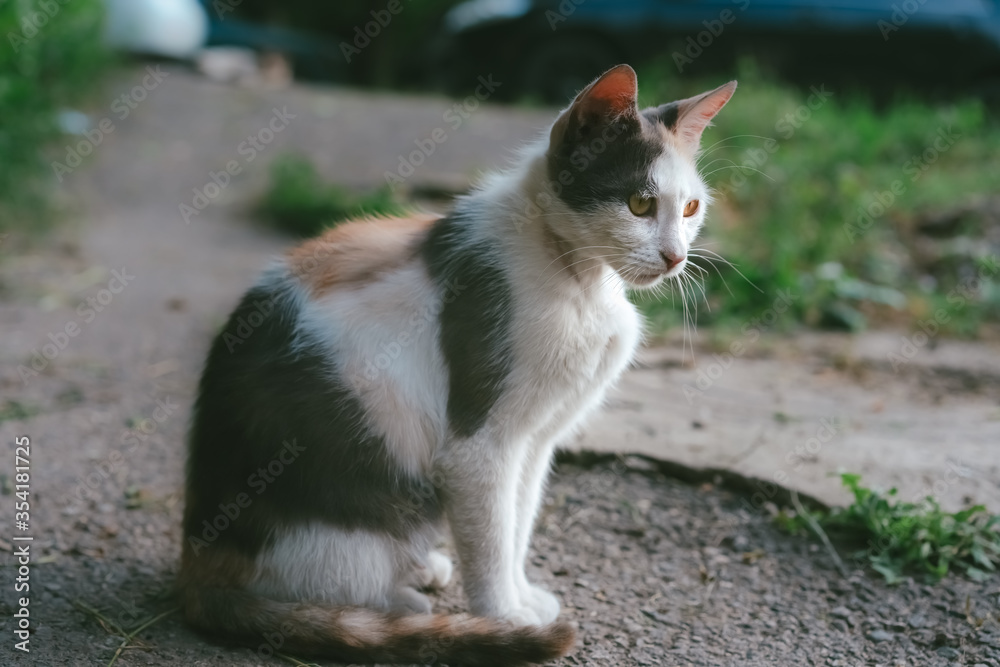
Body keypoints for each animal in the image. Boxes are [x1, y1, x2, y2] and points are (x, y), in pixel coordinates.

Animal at [182, 64, 736, 667]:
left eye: (690, 209)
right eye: (639, 204)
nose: (676, 257)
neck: (578, 280)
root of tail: (197, 561)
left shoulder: (535, 439)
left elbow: (516, 523)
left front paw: (521, 598)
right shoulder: (480, 442)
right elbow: (489, 536)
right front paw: (503, 617)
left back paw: (421, 570)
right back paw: (398, 605)